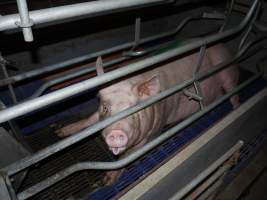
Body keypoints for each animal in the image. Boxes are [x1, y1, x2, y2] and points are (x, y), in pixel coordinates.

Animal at [55, 43, 240, 184]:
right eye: (106, 108)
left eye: (134, 110)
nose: (116, 132)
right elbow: (90, 120)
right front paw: (60, 132)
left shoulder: (154, 131)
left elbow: (129, 156)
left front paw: (106, 181)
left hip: (227, 70)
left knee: (234, 92)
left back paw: (235, 109)